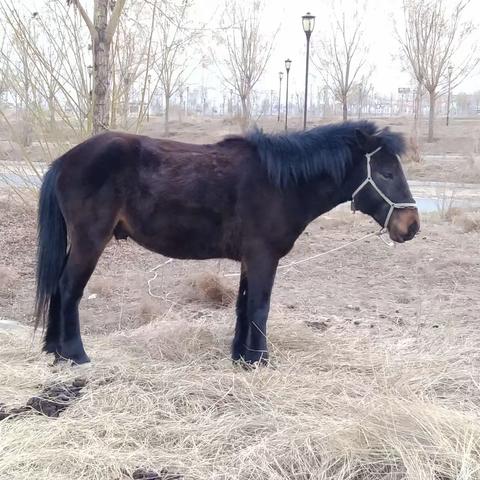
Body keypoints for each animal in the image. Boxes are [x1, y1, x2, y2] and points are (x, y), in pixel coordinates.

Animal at [34, 120, 420, 364]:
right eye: (386, 173)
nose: (412, 225)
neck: (280, 183)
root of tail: (65, 160)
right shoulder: (264, 257)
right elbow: (260, 307)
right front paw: (260, 360)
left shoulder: (251, 259)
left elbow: (244, 306)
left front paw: (241, 357)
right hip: (90, 241)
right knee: (69, 289)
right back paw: (75, 354)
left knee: (58, 286)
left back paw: (54, 350)